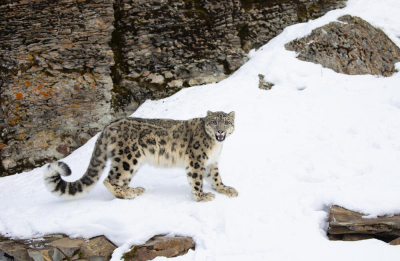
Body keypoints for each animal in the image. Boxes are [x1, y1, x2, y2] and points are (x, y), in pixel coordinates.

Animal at [43, 109, 238, 201]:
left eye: (226, 122)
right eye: (214, 122)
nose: (220, 131)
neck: (216, 145)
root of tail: (107, 127)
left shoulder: (211, 163)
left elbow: (216, 178)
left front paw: (227, 189)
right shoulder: (197, 160)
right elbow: (196, 179)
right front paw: (202, 197)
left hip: (131, 163)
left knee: (121, 179)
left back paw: (133, 190)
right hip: (128, 158)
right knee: (110, 179)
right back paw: (126, 194)